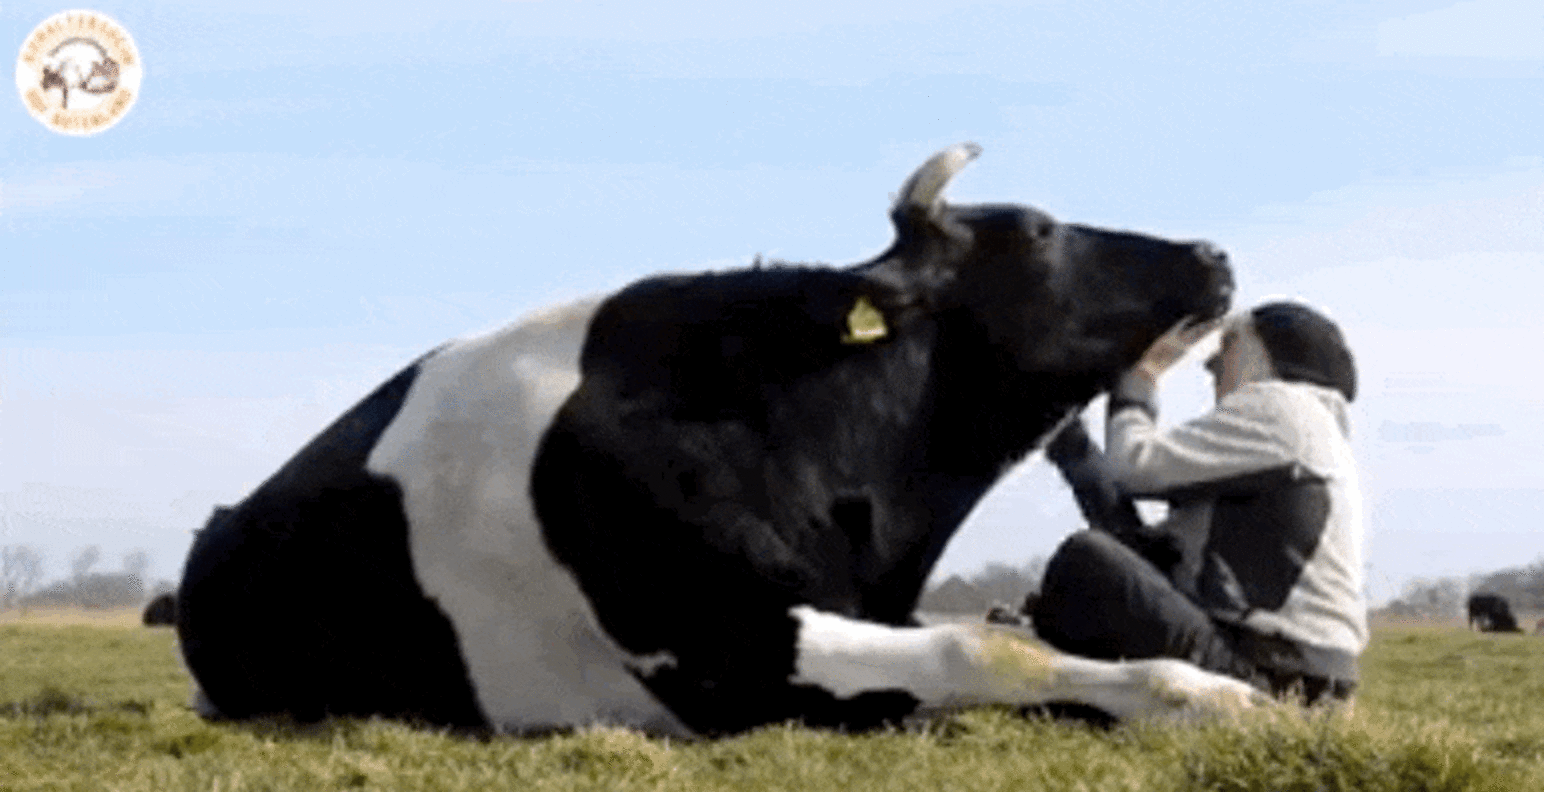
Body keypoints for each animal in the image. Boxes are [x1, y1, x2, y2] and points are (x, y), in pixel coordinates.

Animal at [176, 143, 1255, 736]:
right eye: (1034, 231)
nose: (1210, 253)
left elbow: (1012, 641)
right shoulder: (727, 649)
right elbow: (983, 649)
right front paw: (1210, 694)